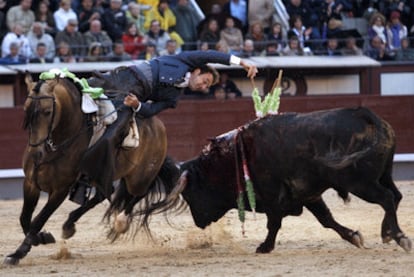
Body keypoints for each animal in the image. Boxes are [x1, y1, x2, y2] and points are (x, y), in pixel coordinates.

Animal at [3, 73, 178, 266]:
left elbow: (39, 219)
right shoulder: (31, 182)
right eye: (25, 110)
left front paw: (18, 253)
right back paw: (69, 225)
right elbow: (25, 217)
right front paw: (42, 238)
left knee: (139, 194)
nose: (36, 154)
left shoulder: (61, 189)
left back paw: (120, 223)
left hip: (139, 177)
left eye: (47, 112)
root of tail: (158, 125)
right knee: (103, 195)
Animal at [164, 107, 410, 252]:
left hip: (359, 182)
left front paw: (265, 246)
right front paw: (353, 236)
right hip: (383, 174)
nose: (198, 222)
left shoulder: (272, 194)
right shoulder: (309, 194)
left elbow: (274, 222)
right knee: (396, 196)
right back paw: (387, 233)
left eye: (191, 193)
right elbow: (326, 219)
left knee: (386, 198)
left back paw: (399, 237)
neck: (236, 155)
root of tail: (367, 115)